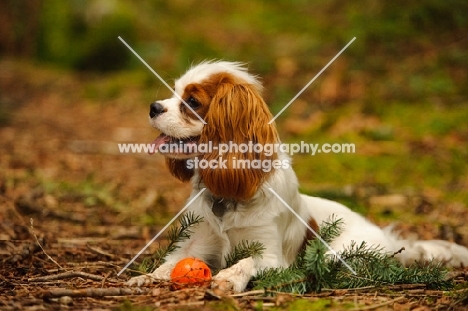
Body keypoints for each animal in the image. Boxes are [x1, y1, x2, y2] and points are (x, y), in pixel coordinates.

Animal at [126, 61, 468, 292]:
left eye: (192, 102)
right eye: (173, 93)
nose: (153, 107)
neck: (229, 196)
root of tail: (385, 236)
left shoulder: (270, 256)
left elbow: (247, 260)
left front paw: (228, 278)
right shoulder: (194, 247)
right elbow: (170, 263)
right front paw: (146, 277)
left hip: (337, 253)